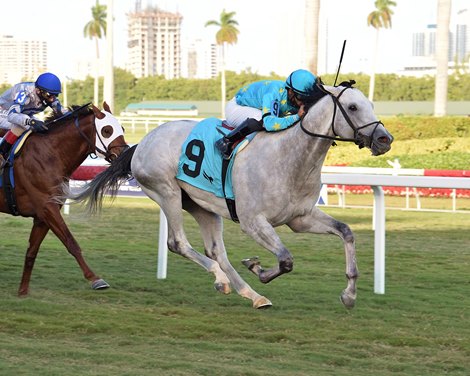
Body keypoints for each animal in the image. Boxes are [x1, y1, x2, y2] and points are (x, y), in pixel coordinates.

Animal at [0, 102, 129, 294]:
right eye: (107, 130)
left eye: (122, 128)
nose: (126, 159)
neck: (49, 154)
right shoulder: (47, 208)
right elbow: (71, 242)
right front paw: (95, 279)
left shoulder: (42, 216)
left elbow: (32, 251)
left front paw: (23, 290)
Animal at [70, 81, 392, 308]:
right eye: (353, 107)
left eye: (370, 104)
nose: (384, 138)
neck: (290, 158)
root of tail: (142, 143)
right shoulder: (253, 221)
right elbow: (286, 260)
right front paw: (257, 268)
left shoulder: (300, 218)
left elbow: (346, 231)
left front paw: (349, 294)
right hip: (167, 192)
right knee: (178, 243)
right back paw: (223, 280)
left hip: (202, 205)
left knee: (216, 251)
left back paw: (251, 294)